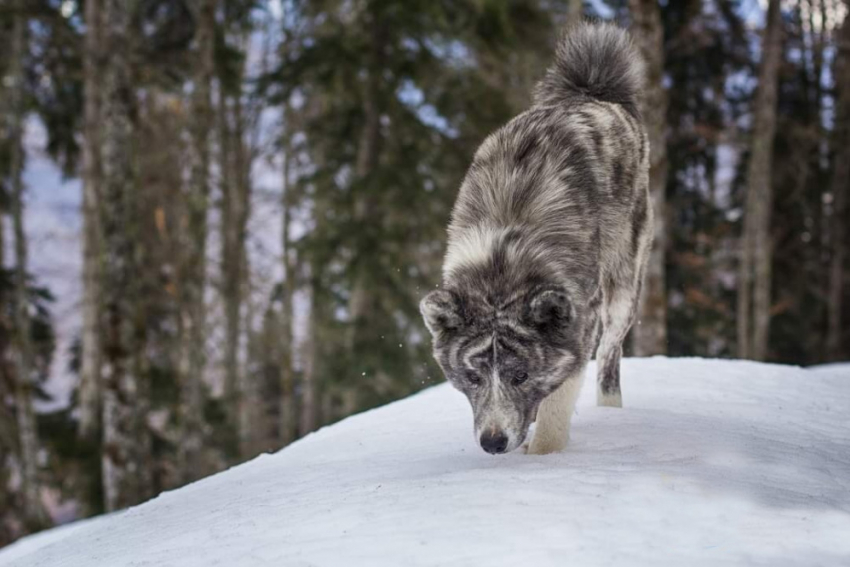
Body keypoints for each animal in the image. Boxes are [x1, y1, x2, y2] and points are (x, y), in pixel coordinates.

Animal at [418, 23, 648, 458]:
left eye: (521, 375)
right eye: (473, 378)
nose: (493, 443)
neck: (503, 257)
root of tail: (592, 93)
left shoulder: (580, 325)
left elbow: (558, 402)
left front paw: (543, 458)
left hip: (624, 287)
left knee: (610, 356)